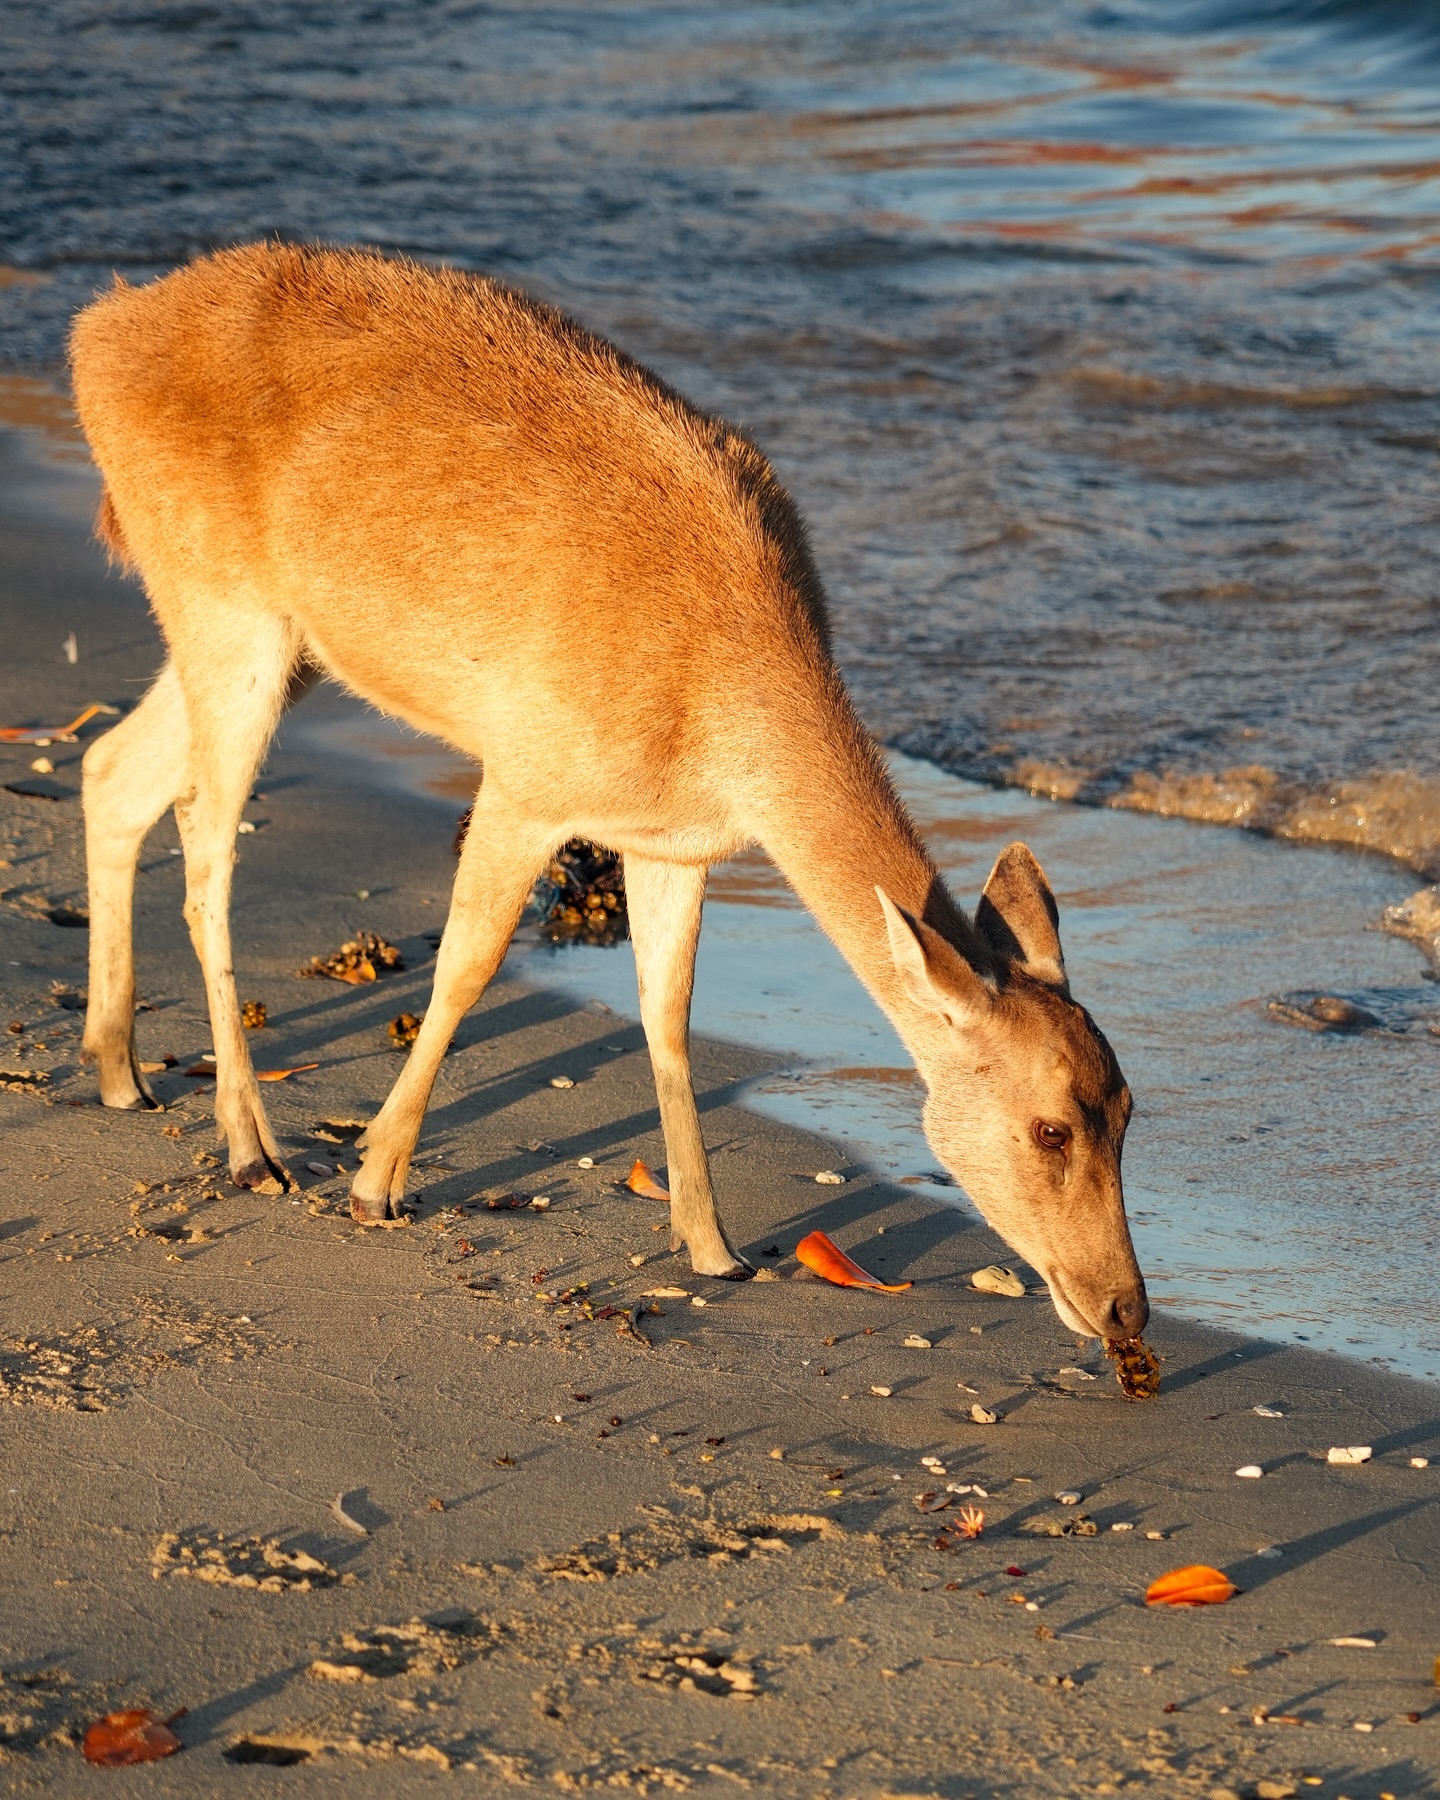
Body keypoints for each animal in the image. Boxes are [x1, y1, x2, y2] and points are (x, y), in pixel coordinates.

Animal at [67, 239, 1152, 1346]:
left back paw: (119, 1072)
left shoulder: (672, 840)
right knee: (205, 837)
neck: (722, 709)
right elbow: (467, 964)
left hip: (273, 640)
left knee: (112, 769)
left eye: (1129, 1109)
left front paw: (714, 1247)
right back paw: (254, 1149)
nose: (1127, 1310)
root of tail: (93, 335)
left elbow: (668, 1013)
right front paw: (375, 1182)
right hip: (226, 605)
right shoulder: (526, 777)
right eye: (1051, 1127)